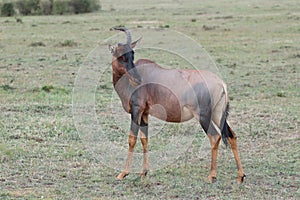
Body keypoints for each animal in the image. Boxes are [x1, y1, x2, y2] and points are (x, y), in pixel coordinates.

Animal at [109, 27, 245, 184]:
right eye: (121, 56)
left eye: (132, 54)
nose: (137, 80)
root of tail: (221, 83)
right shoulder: (145, 113)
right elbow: (144, 139)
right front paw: (144, 172)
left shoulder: (137, 110)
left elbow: (132, 139)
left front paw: (123, 173)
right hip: (218, 114)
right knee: (231, 135)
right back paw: (240, 176)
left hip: (204, 116)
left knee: (214, 137)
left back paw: (211, 176)